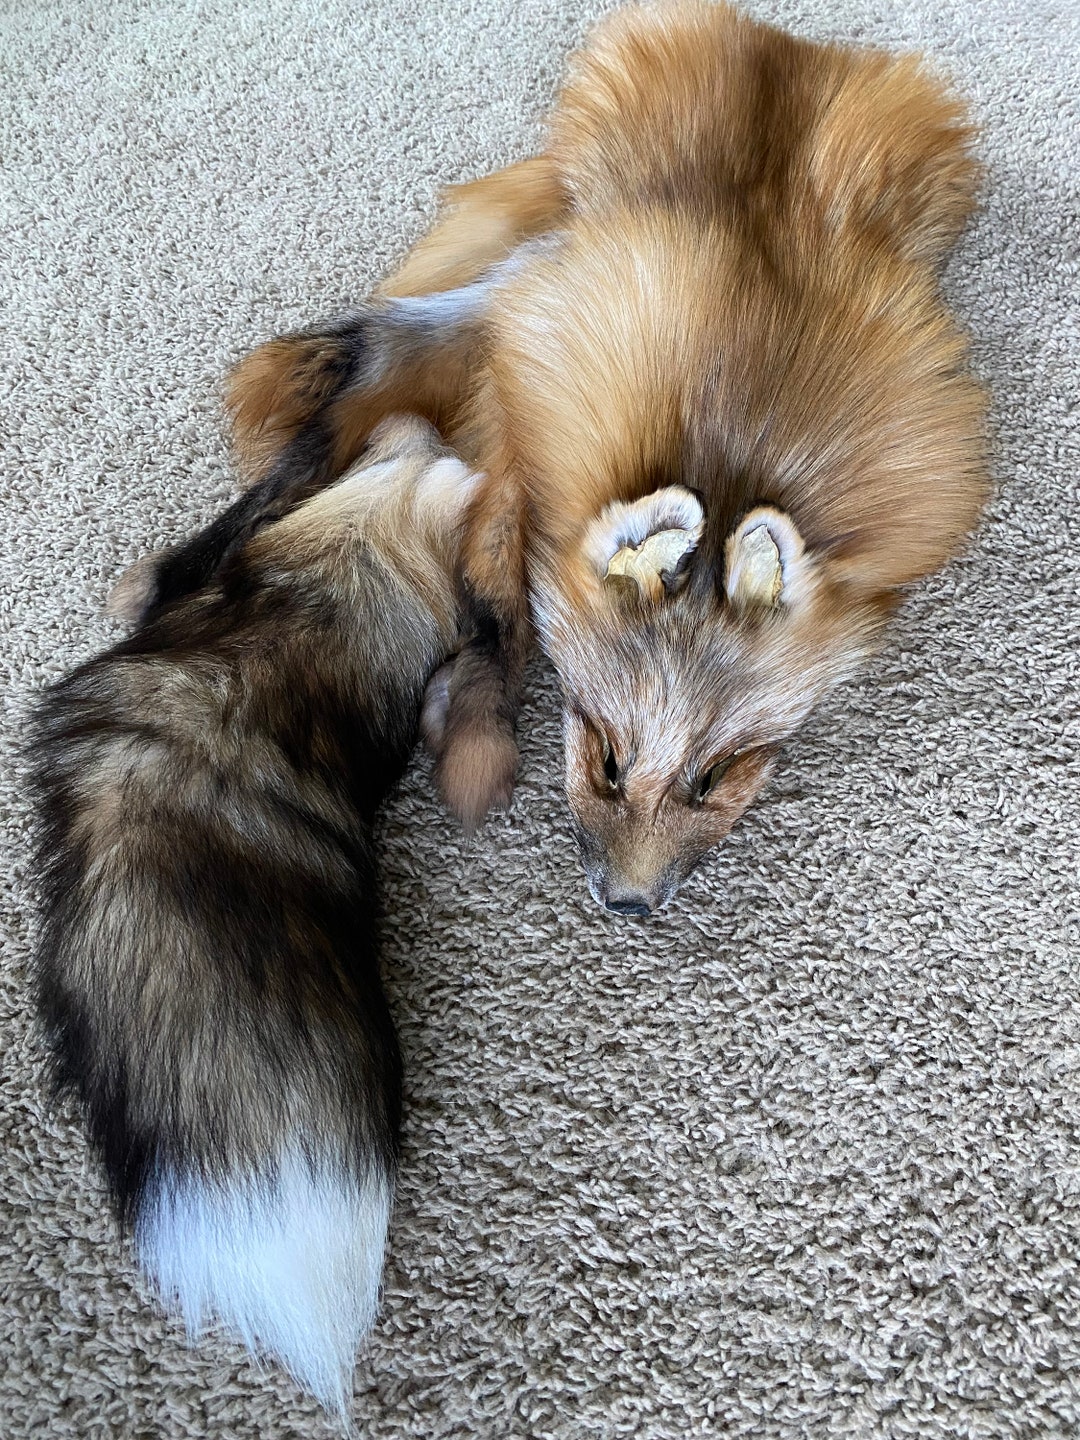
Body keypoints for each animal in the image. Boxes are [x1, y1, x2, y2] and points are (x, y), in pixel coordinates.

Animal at [215, 1, 988, 913]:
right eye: (609, 761)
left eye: (715, 775)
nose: (628, 904)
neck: (728, 444)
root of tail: (793, 41)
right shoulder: (520, 427)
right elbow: (495, 611)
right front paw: (476, 735)